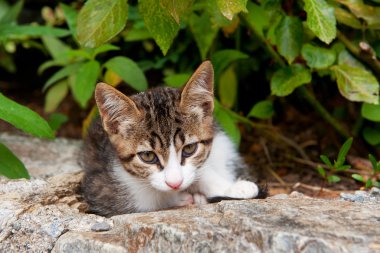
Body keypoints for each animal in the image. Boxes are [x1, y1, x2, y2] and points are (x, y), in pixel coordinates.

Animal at [81, 61, 262, 217]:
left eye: (189, 148)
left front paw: (231, 187)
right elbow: (143, 201)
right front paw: (181, 198)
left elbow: (201, 171)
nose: (175, 184)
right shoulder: (101, 187)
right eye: (147, 156)